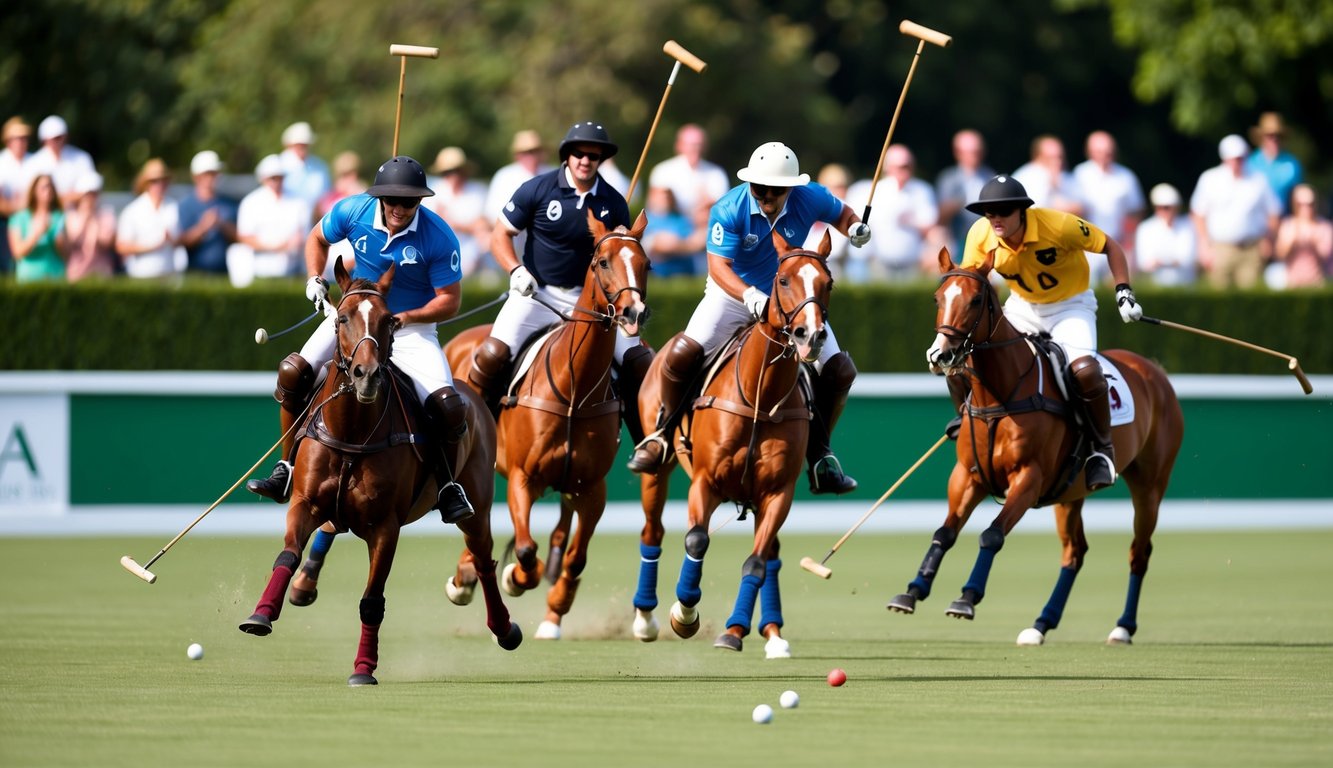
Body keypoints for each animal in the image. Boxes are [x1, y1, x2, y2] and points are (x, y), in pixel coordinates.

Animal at [237, 260, 517, 682]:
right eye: (342, 318)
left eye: (389, 320)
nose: (366, 375)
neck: (351, 431)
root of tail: (469, 390)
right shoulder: (305, 503)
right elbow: (287, 555)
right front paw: (261, 615)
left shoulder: (386, 525)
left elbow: (372, 600)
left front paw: (363, 669)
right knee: (292, 371)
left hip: (477, 506)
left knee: (483, 558)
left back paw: (504, 628)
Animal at [447, 210, 650, 642]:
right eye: (601, 261)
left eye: (647, 264)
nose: (633, 313)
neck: (574, 391)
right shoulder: (523, 478)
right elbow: (525, 549)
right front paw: (513, 578)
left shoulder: (590, 488)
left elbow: (575, 557)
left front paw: (554, 607)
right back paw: (466, 576)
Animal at [634, 230, 831, 656]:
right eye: (783, 280)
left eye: (829, 283)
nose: (811, 335)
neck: (759, 395)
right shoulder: (705, 481)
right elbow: (696, 539)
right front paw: (684, 614)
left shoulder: (778, 491)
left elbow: (756, 561)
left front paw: (732, 633)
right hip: (657, 470)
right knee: (652, 531)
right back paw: (645, 618)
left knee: (770, 555)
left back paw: (769, 632)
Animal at [885, 250, 1189, 642]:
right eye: (938, 299)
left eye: (976, 300)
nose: (941, 356)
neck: (999, 394)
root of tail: (1153, 371)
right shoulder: (968, 477)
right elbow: (945, 532)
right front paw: (912, 591)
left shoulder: (1028, 478)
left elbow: (992, 534)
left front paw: (966, 598)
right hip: (1070, 493)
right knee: (1074, 552)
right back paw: (1041, 623)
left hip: (1150, 484)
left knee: (1140, 551)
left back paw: (1123, 627)